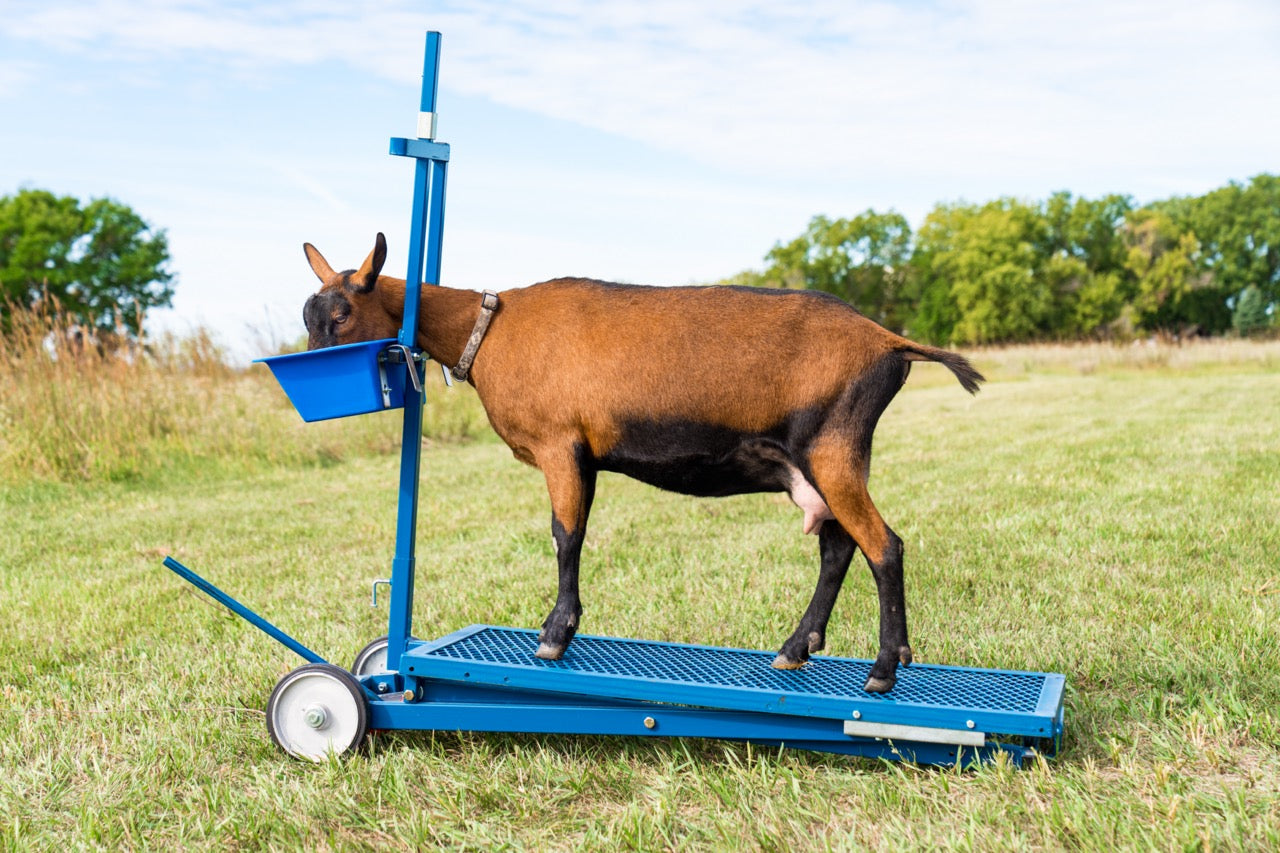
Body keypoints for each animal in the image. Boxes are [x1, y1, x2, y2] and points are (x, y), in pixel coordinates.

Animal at [302, 233, 983, 692]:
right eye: (309, 315)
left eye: (340, 314)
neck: (490, 329)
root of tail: (890, 342)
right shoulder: (582, 456)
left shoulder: (561, 446)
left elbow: (565, 535)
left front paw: (554, 637)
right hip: (818, 465)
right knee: (839, 547)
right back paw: (797, 648)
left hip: (833, 449)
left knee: (883, 545)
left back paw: (884, 670)